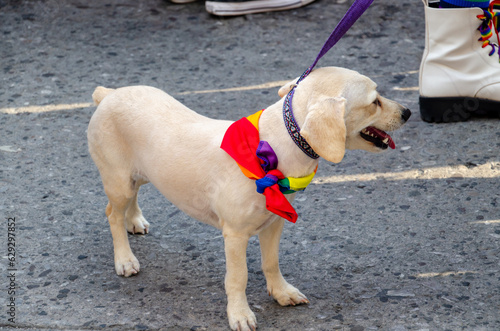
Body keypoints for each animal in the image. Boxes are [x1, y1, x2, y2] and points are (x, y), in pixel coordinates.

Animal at [88, 66, 412, 330]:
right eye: (374, 101)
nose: (408, 112)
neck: (275, 149)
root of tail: (109, 95)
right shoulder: (235, 235)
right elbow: (238, 277)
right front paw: (239, 314)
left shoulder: (274, 223)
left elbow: (271, 263)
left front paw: (281, 292)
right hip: (119, 182)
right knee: (112, 214)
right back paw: (124, 258)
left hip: (140, 175)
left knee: (131, 199)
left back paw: (134, 221)